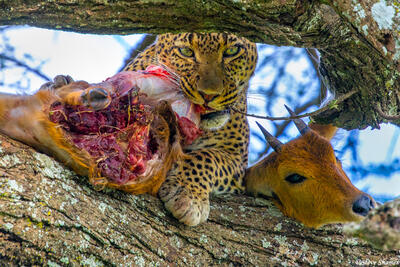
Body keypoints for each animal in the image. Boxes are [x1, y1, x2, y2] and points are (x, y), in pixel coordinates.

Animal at [123, 32, 258, 227]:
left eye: (232, 51)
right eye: (186, 52)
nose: (209, 95)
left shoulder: (236, 156)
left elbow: (207, 158)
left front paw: (187, 194)